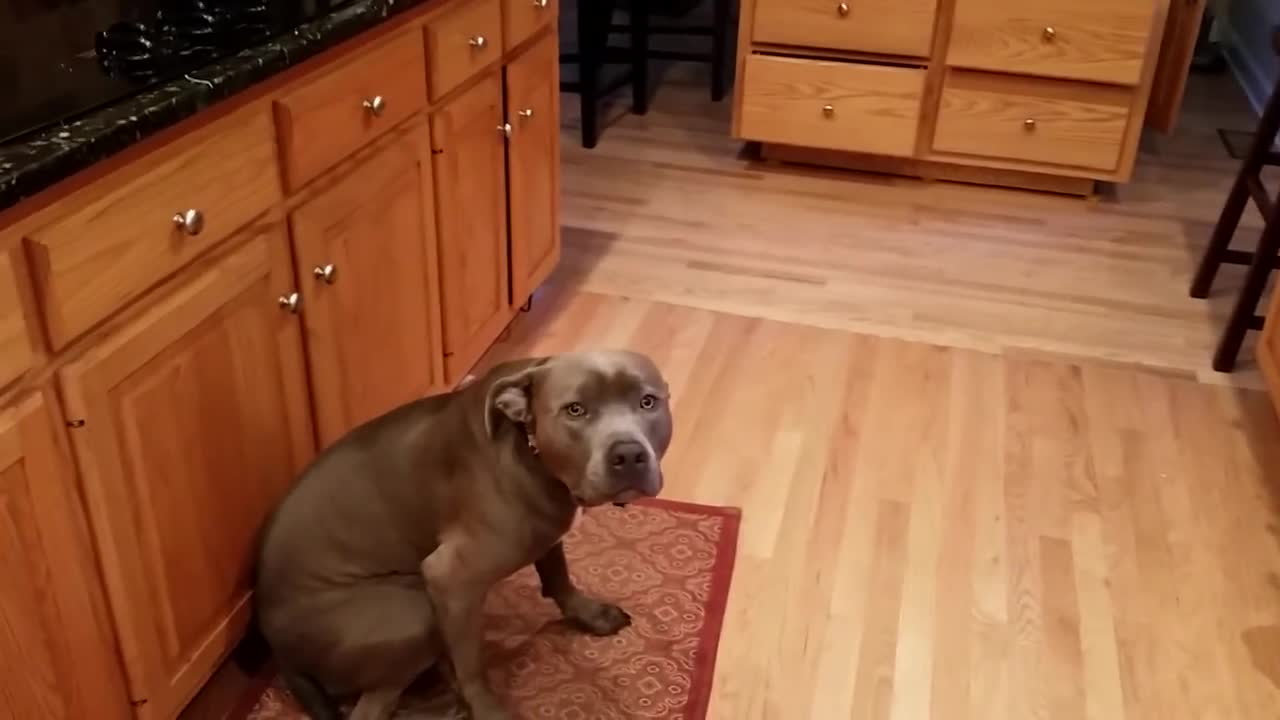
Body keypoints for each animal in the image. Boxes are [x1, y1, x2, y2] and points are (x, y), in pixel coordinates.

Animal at [247, 348, 670, 717]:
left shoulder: (546, 526)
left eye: (648, 402)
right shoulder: (453, 579)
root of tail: (282, 653)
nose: (628, 455)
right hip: (413, 614)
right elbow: (471, 664)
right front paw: (487, 710)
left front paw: (590, 615)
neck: (529, 446)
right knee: (373, 707)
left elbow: (557, 575)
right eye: (575, 410)